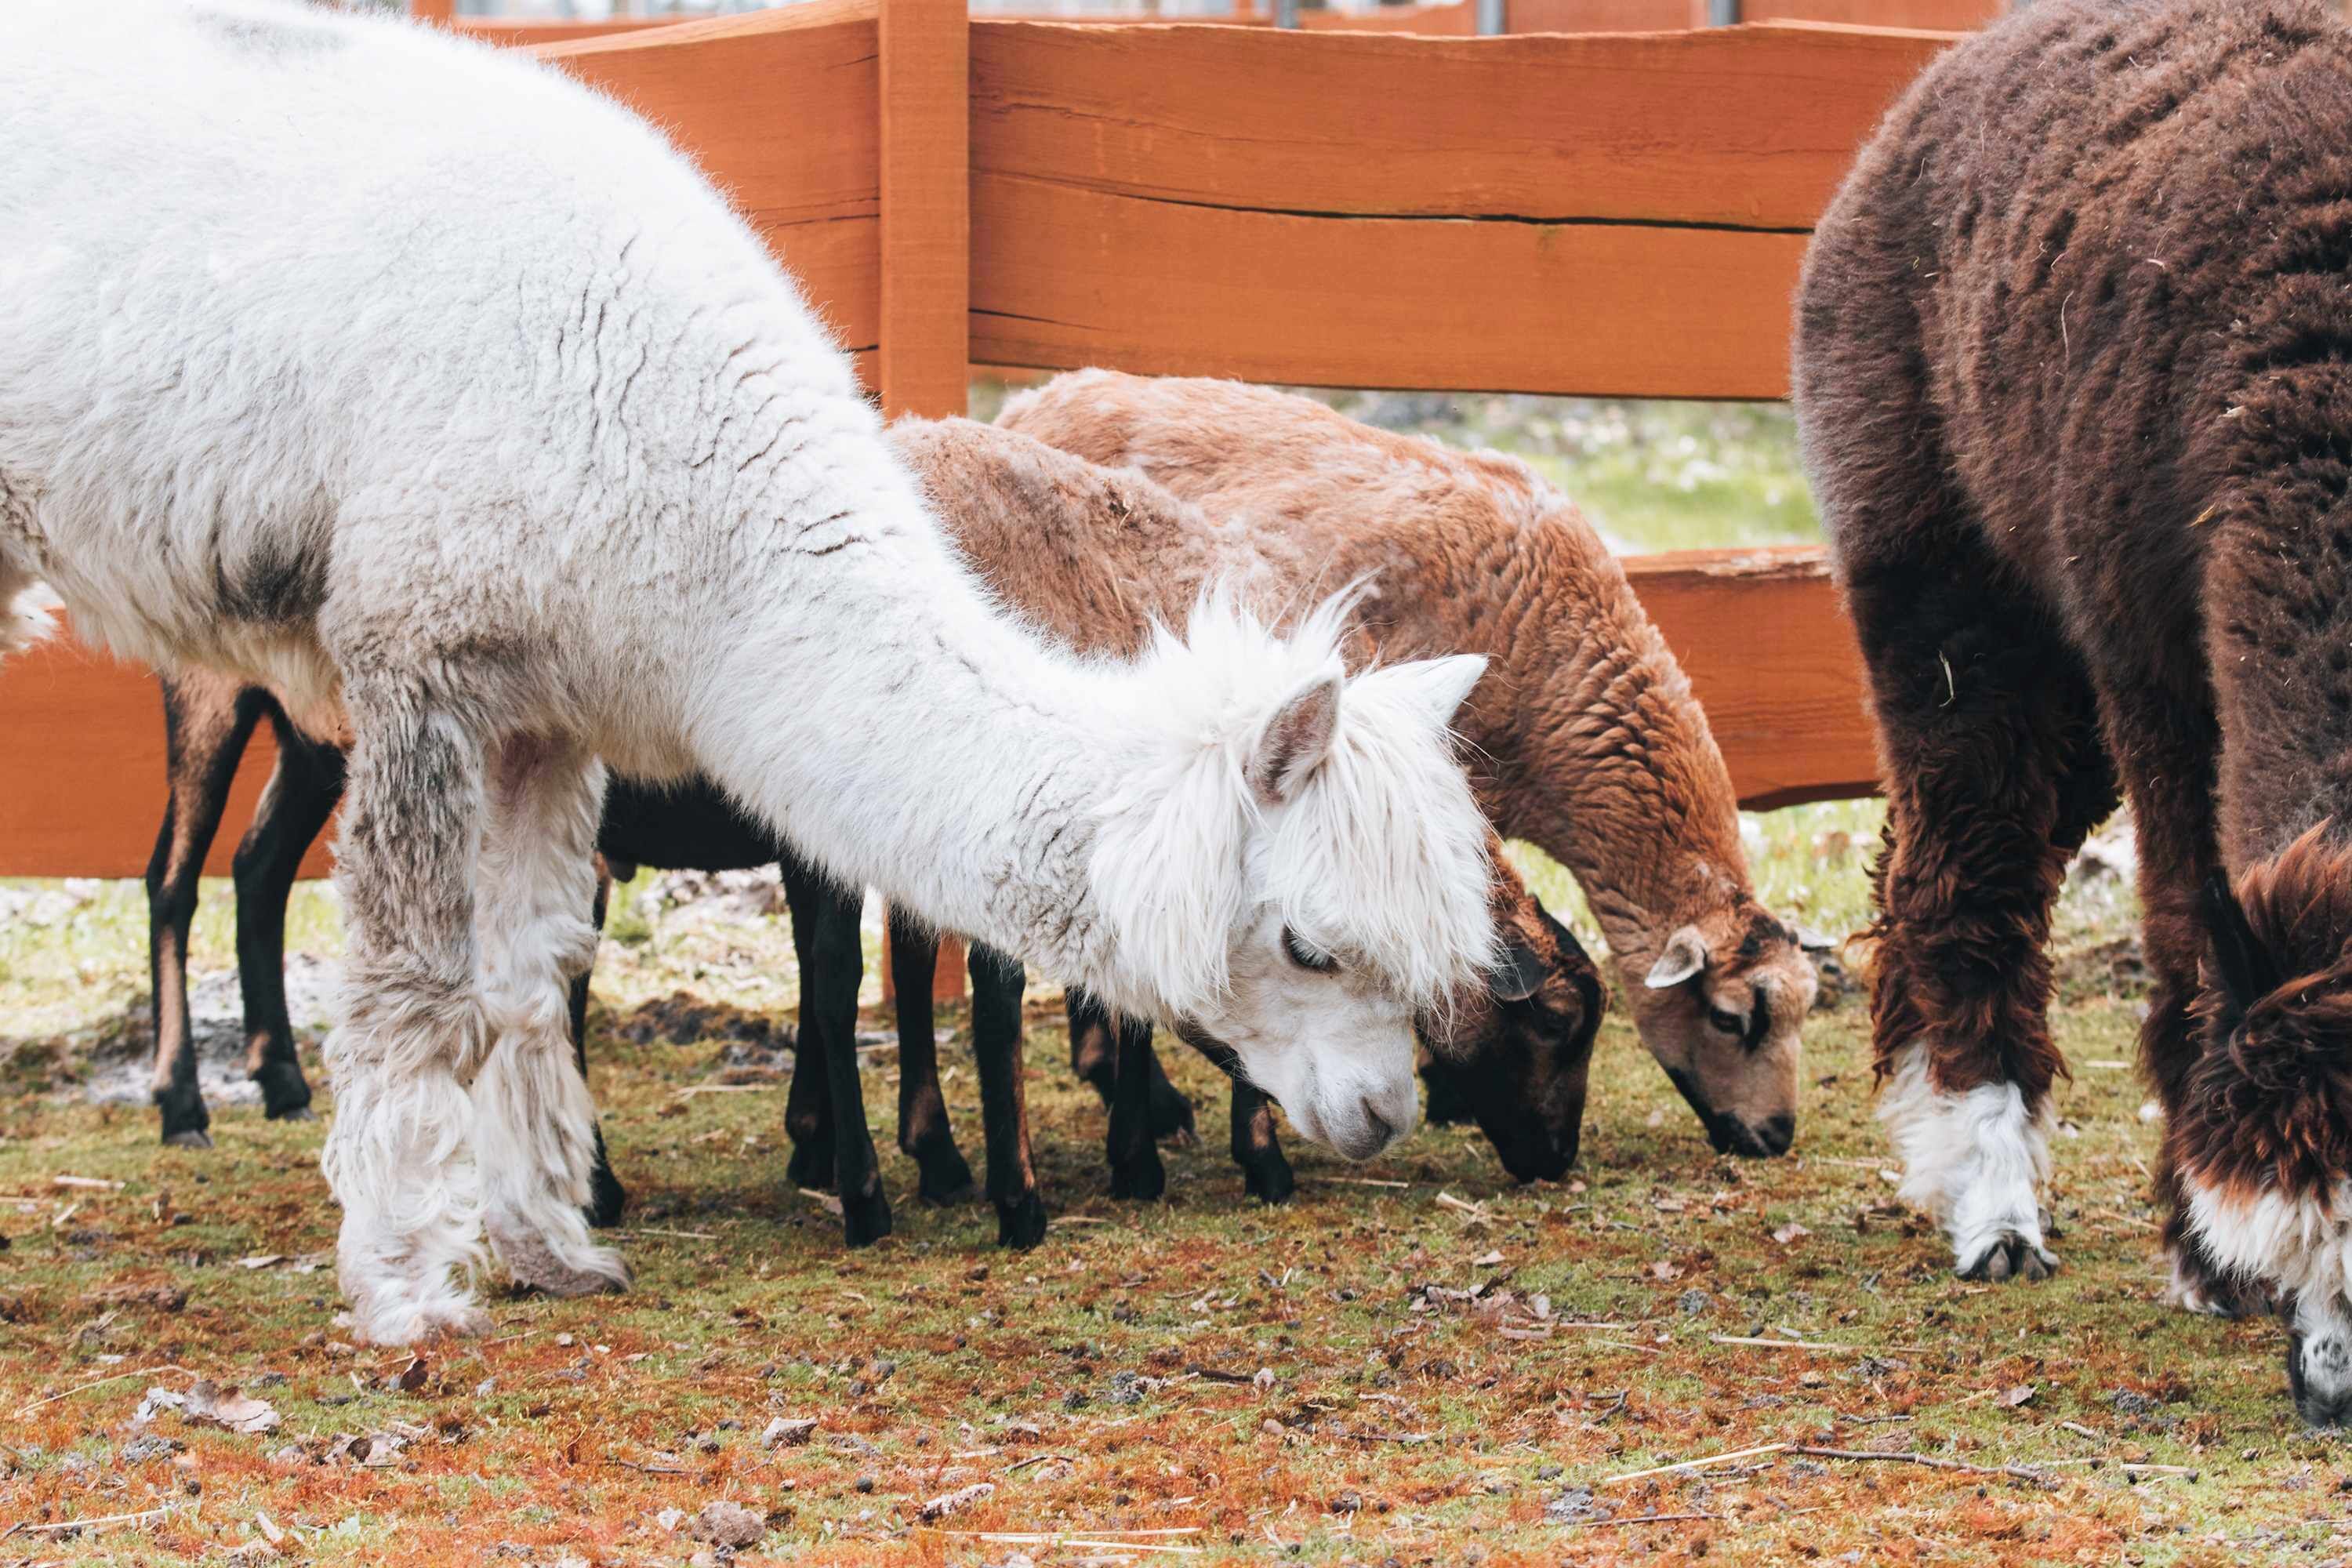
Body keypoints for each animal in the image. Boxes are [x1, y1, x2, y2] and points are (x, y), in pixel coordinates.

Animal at [0, 0, 1498, 1342]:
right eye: (1311, 943)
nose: (1382, 1113)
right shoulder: (415, 648)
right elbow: (417, 989)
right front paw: (408, 1294)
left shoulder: (538, 707)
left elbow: (527, 978)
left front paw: (554, 1254)